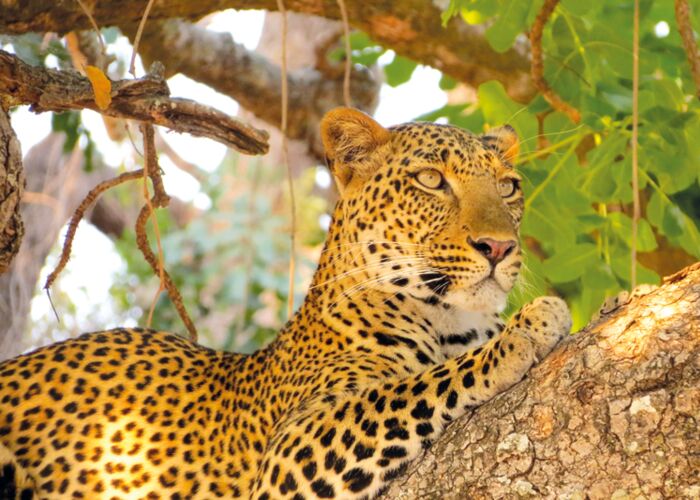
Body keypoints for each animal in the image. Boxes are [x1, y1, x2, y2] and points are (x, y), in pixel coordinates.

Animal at [0, 107, 572, 499]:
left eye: (509, 187)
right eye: (431, 180)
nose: (499, 247)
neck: (454, 322)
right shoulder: (290, 453)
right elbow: (413, 386)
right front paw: (524, 331)